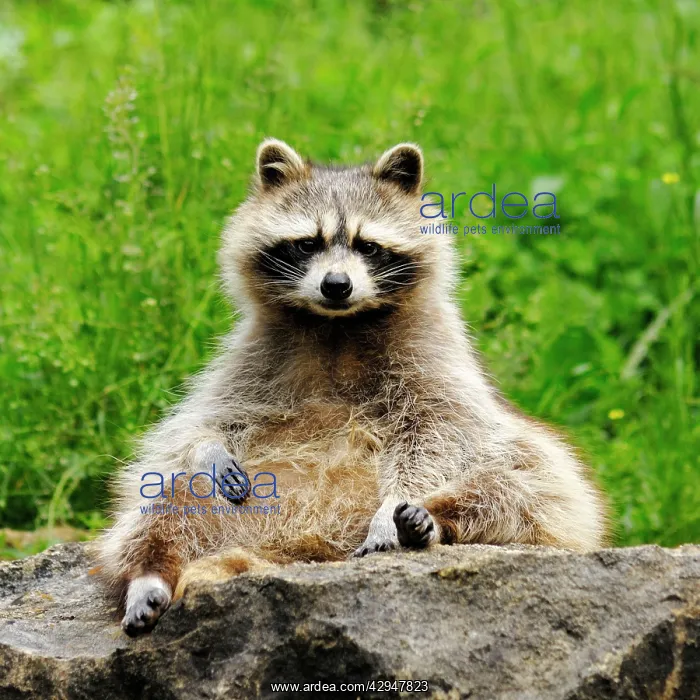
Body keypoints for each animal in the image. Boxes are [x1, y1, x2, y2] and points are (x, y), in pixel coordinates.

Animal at [95, 139, 607, 636]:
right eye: (307, 244)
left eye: (369, 246)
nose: (336, 284)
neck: (337, 326)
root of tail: (311, 545)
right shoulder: (251, 357)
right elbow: (197, 426)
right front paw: (210, 450)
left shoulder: (436, 359)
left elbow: (442, 433)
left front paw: (400, 504)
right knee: (167, 499)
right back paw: (149, 572)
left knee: (529, 481)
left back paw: (431, 520)